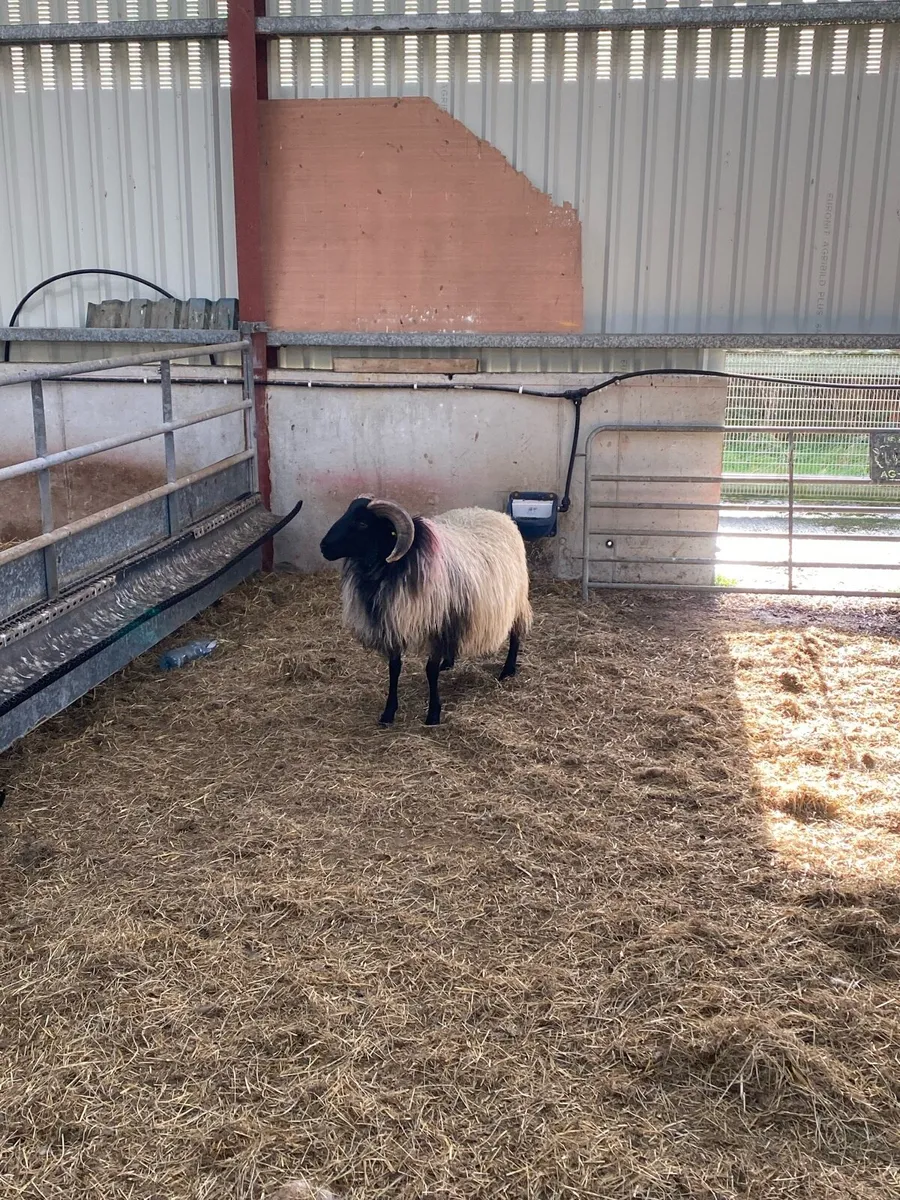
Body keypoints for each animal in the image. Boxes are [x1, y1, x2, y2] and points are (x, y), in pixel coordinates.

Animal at [319, 495, 533, 726]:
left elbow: (430, 671)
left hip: (516, 598)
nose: (323, 547)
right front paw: (388, 712)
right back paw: (448, 662)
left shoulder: (436, 624)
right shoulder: (393, 624)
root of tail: (499, 515)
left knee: (516, 633)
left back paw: (508, 670)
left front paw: (433, 714)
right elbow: (394, 668)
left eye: (362, 523)